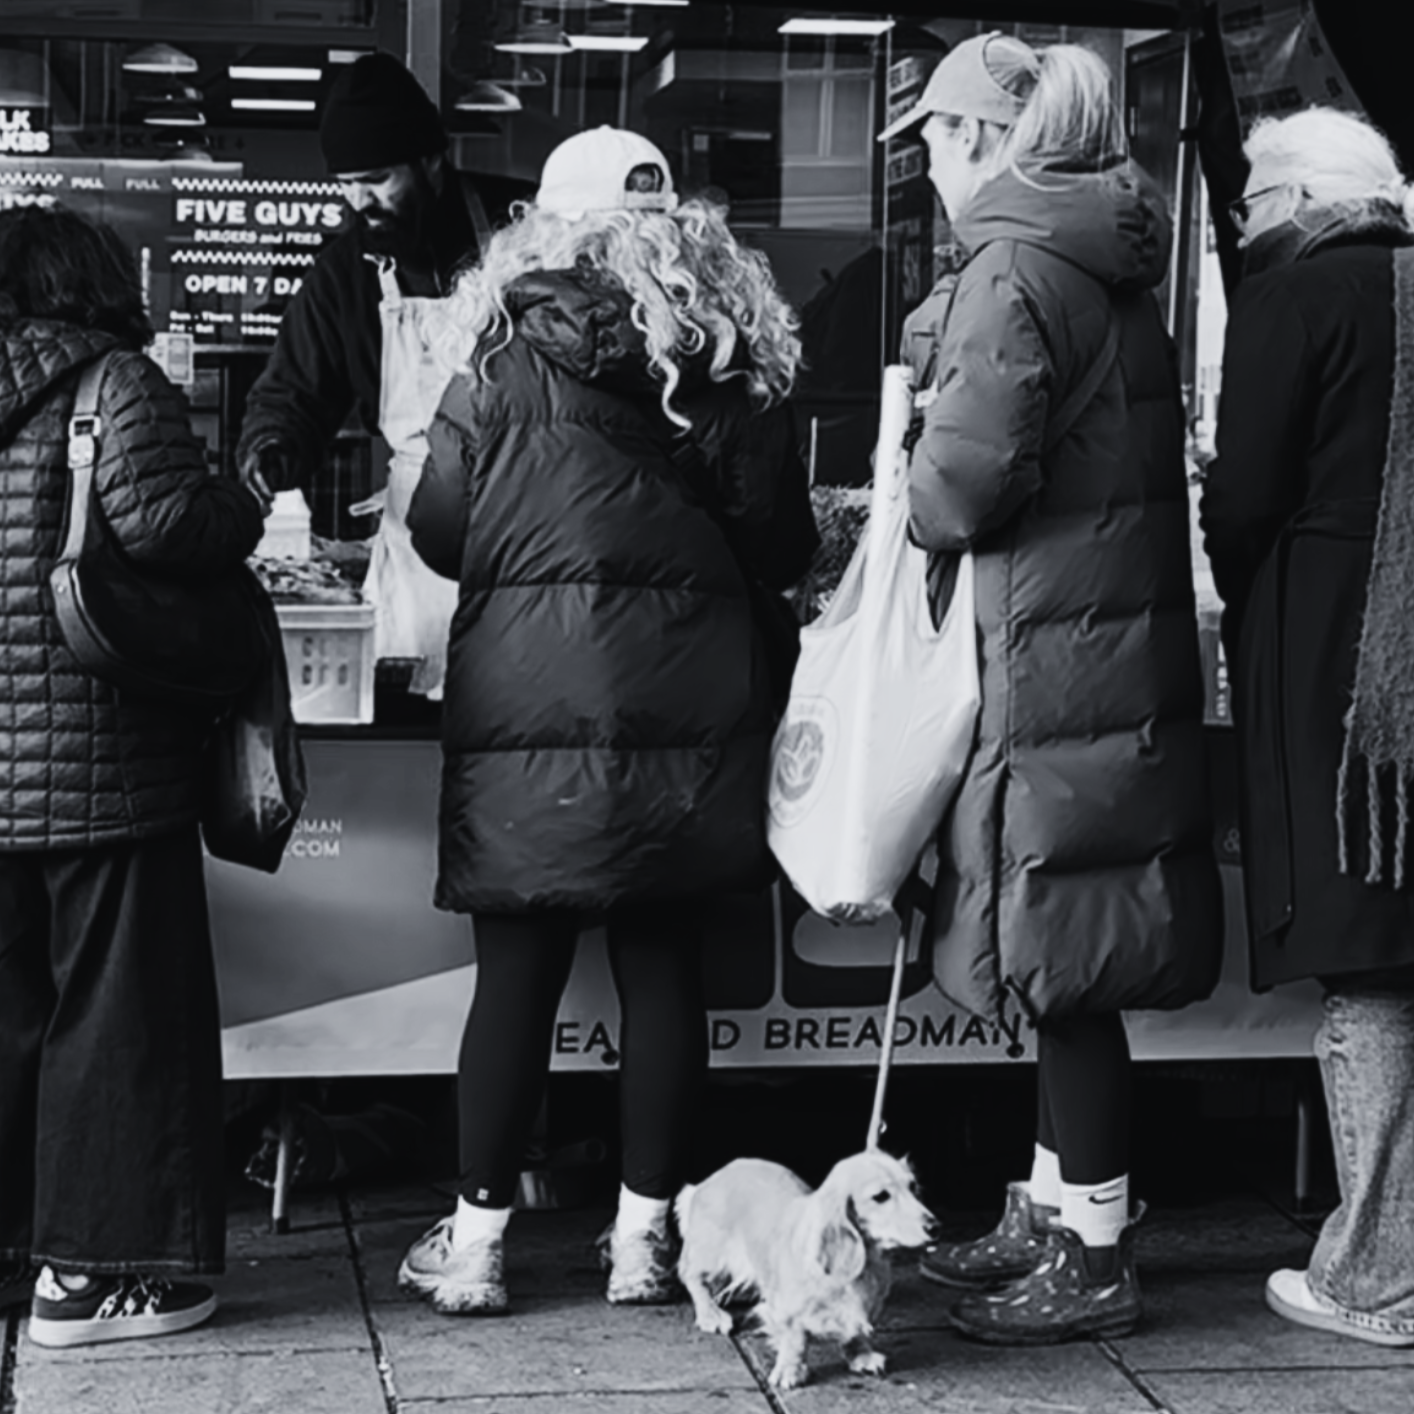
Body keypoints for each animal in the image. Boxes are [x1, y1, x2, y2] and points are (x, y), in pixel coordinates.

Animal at [675, 1150, 937, 1389]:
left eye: (913, 1186)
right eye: (880, 1196)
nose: (935, 1227)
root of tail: (707, 1182)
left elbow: (855, 1331)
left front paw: (862, 1355)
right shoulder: (788, 1311)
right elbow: (796, 1340)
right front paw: (789, 1371)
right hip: (713, 1256)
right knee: (692, 1276)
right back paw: (710, 1314)